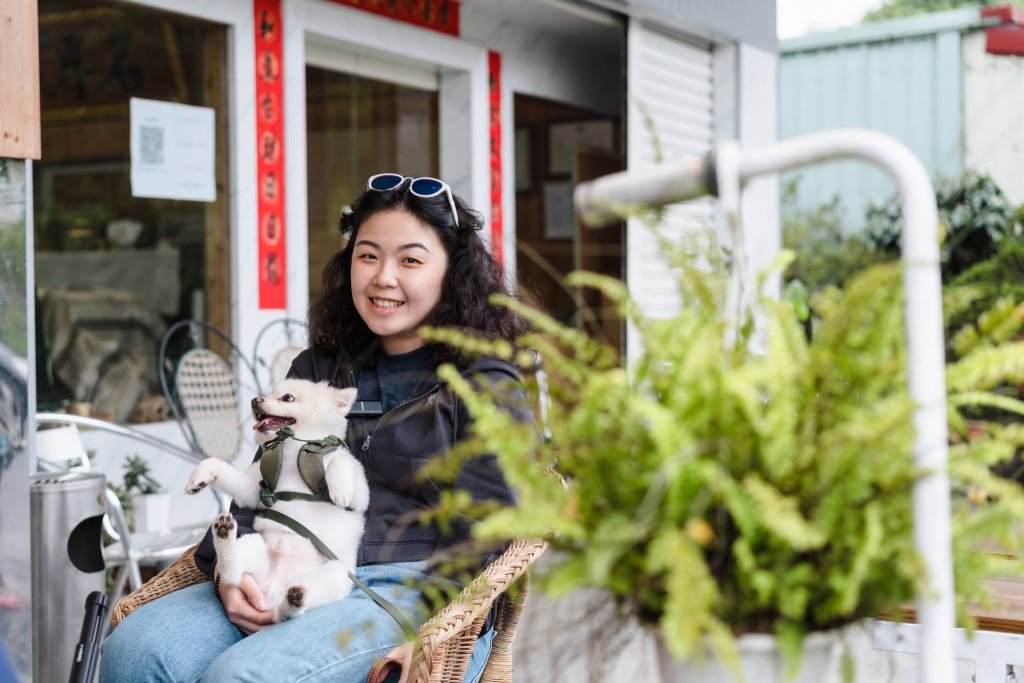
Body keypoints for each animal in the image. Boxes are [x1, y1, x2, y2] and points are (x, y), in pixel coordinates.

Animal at [184, 378, 368, 626]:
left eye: (287, 398)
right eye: (268, 393)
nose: (255, 400)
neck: (294, 450)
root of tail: (272, 590)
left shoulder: (361, 494)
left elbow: (341, 461)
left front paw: (339, 489)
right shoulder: (252, 488)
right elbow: (219, 465)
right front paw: (200, 476)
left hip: (336, 574)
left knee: (289, 609)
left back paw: (295, 599)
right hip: (254, 545)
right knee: (231, 574)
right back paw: (224, 534)